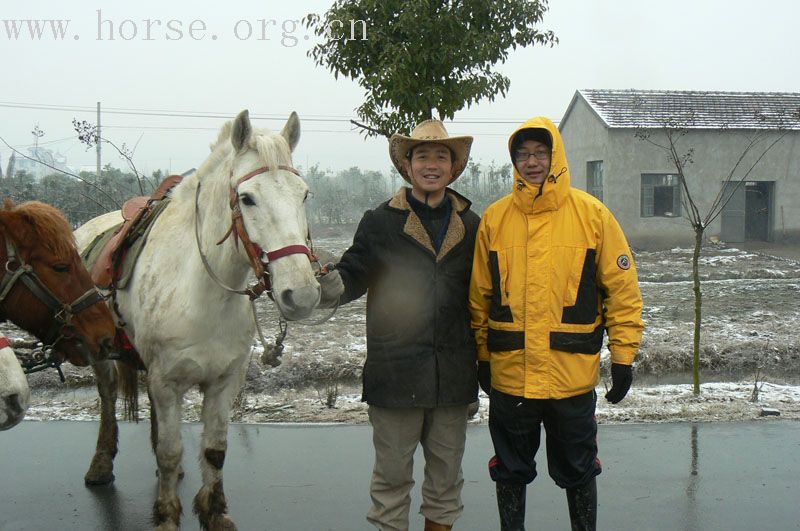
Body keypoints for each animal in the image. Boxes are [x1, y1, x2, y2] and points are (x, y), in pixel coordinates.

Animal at [76, 110, 322, 528]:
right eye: (247, 198)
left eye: (303, 194)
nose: (301, 294)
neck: (203, 294)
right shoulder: (166, 380)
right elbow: (170, 450)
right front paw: (166, 516)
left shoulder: (224, 381)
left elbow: (214, 450)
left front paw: (215, 513)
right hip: (98, 351)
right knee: (107, 398)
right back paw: (100, 464)